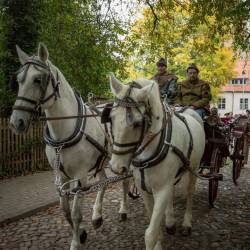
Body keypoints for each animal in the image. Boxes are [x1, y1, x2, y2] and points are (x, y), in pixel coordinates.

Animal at [9, 43, 131, 250]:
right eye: (19, 80)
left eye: (38, 79)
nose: (16, 122)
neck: (64, 132)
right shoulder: (61, 174)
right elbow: (65, 210)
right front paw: (80, 233)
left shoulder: (79, 176)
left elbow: (75, 213)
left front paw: (75, 241)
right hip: (101, 159)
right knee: (104, 181)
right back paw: (97, 216)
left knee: (124, 180)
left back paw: (123, 210)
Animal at [107, 73, 205, 250]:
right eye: (110, 118)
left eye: (137, 123)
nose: (116, 167)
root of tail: (189, 110)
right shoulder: (144, 188)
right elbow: (155, 223)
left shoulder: (162, 189)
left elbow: (150, 233)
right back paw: (171, 220)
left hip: (194, 167)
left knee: (189, 193)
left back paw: (186, 223)